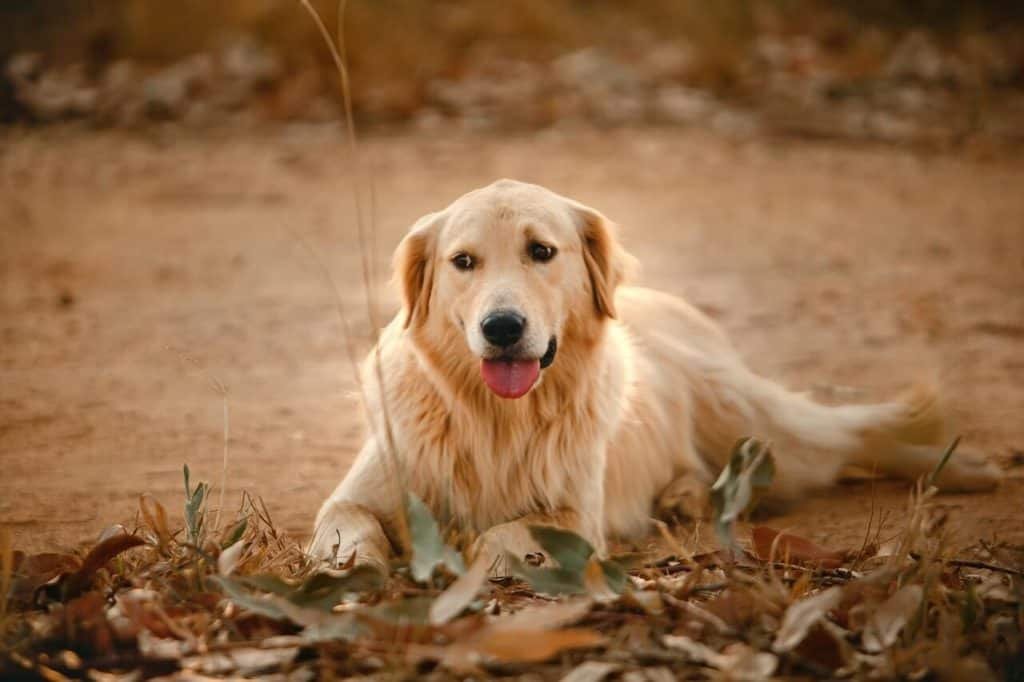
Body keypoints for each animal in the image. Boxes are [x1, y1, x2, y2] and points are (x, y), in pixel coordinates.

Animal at [309, 179, 999, 569]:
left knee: (844, 435)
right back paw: (683, 494)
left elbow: (505, 531)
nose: (502, 327)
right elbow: (343, 525)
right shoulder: (365, 487)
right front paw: (350, 565)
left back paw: (966, 467)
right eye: (463, 262)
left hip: (752, 419)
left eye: (542, 251)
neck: (494, 415)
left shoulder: (576, 516)